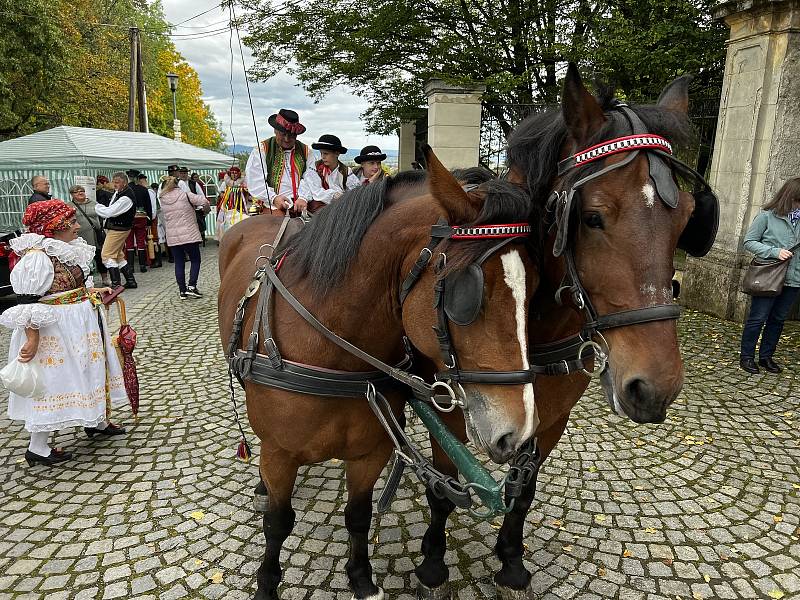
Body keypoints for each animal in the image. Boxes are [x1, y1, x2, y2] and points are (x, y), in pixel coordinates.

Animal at [219, 146, 536, 600]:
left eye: (536, 285)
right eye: (466, 294)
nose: (519, 431)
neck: (332, 351)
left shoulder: (371, 450)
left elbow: (359, 515)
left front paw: (361, 579)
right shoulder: (280, 453)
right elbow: (277, 523)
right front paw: (266, 585)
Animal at [412, 63, 712, 596]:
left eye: (686, 220)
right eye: (591, 218)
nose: (655, 388)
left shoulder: (550, 418)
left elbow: (524, 489)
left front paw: (511, 560)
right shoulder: (446, 405)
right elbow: (443, 484)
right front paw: (432, 561)